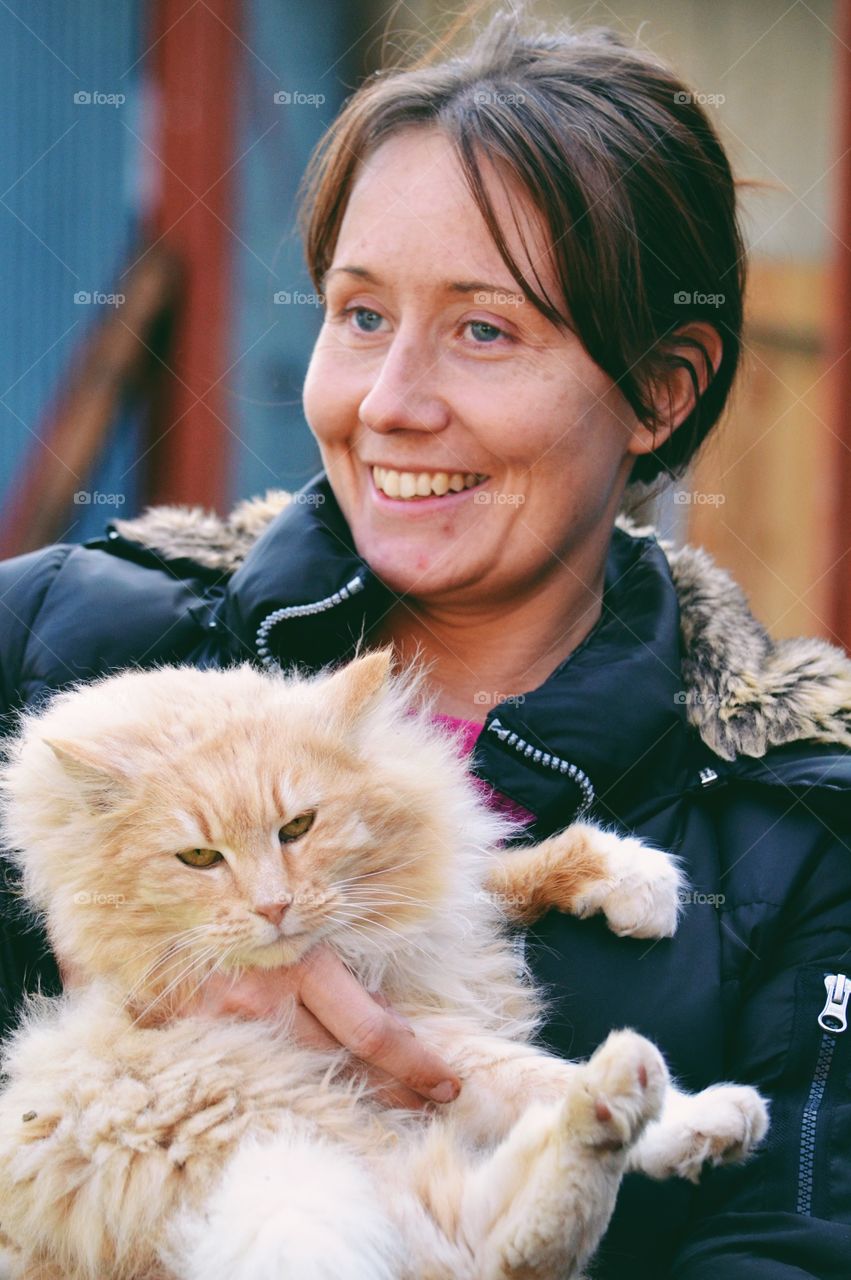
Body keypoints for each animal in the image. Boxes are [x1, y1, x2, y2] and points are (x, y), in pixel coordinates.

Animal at [0, 655, 767, 1280]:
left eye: (298, 827)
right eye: (198, 859)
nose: (272, 906)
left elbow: (487, 872)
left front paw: (628, 876)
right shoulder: (413, 1039)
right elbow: (530, 1074)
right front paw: (682, 1115)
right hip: (257, 1138)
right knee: (480, 1252)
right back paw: (623, 1096)